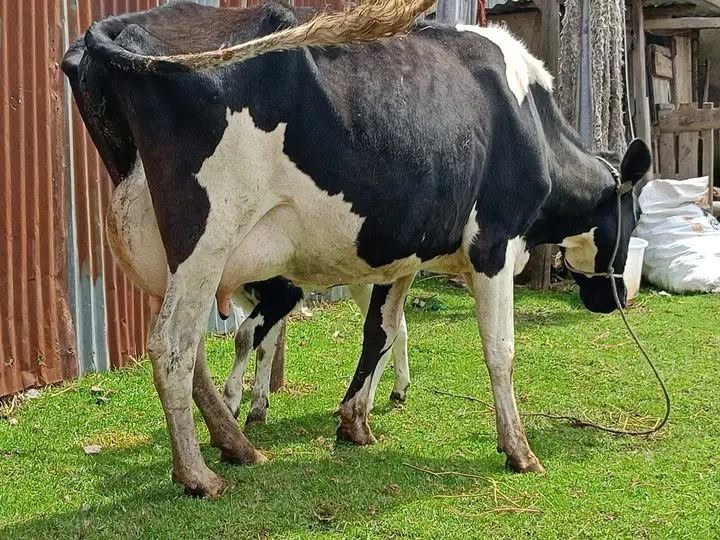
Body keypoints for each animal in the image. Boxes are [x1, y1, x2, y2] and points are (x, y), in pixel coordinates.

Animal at [62, 0, 651, 498]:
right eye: (638, 214)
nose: (616, 299)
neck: (530, 117)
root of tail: (112, 30)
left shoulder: (405, 249)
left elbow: (383, 331)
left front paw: (354, 421)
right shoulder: (495, 242)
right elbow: (499, 348)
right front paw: (519, 450)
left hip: (173, 250)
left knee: (193, 349)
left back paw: (237, 445)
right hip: (207, 232)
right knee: (172, 345)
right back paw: (198, 473)